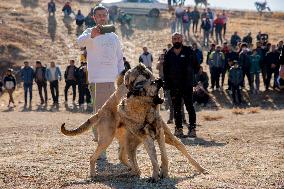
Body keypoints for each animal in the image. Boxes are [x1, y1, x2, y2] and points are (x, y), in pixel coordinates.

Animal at [61, 63, 205, 180]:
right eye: (136, 82)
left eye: (148, 78)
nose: (159, 80)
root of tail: (101, 111)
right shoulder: (147, 136)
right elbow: (154, 158)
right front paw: (156, 173)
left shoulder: (159, 133)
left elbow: (163, 156)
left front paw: (162, 171)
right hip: (109, 139)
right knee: (97, 157)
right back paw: (98, 173)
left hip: (142, 140)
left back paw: (200, 168)